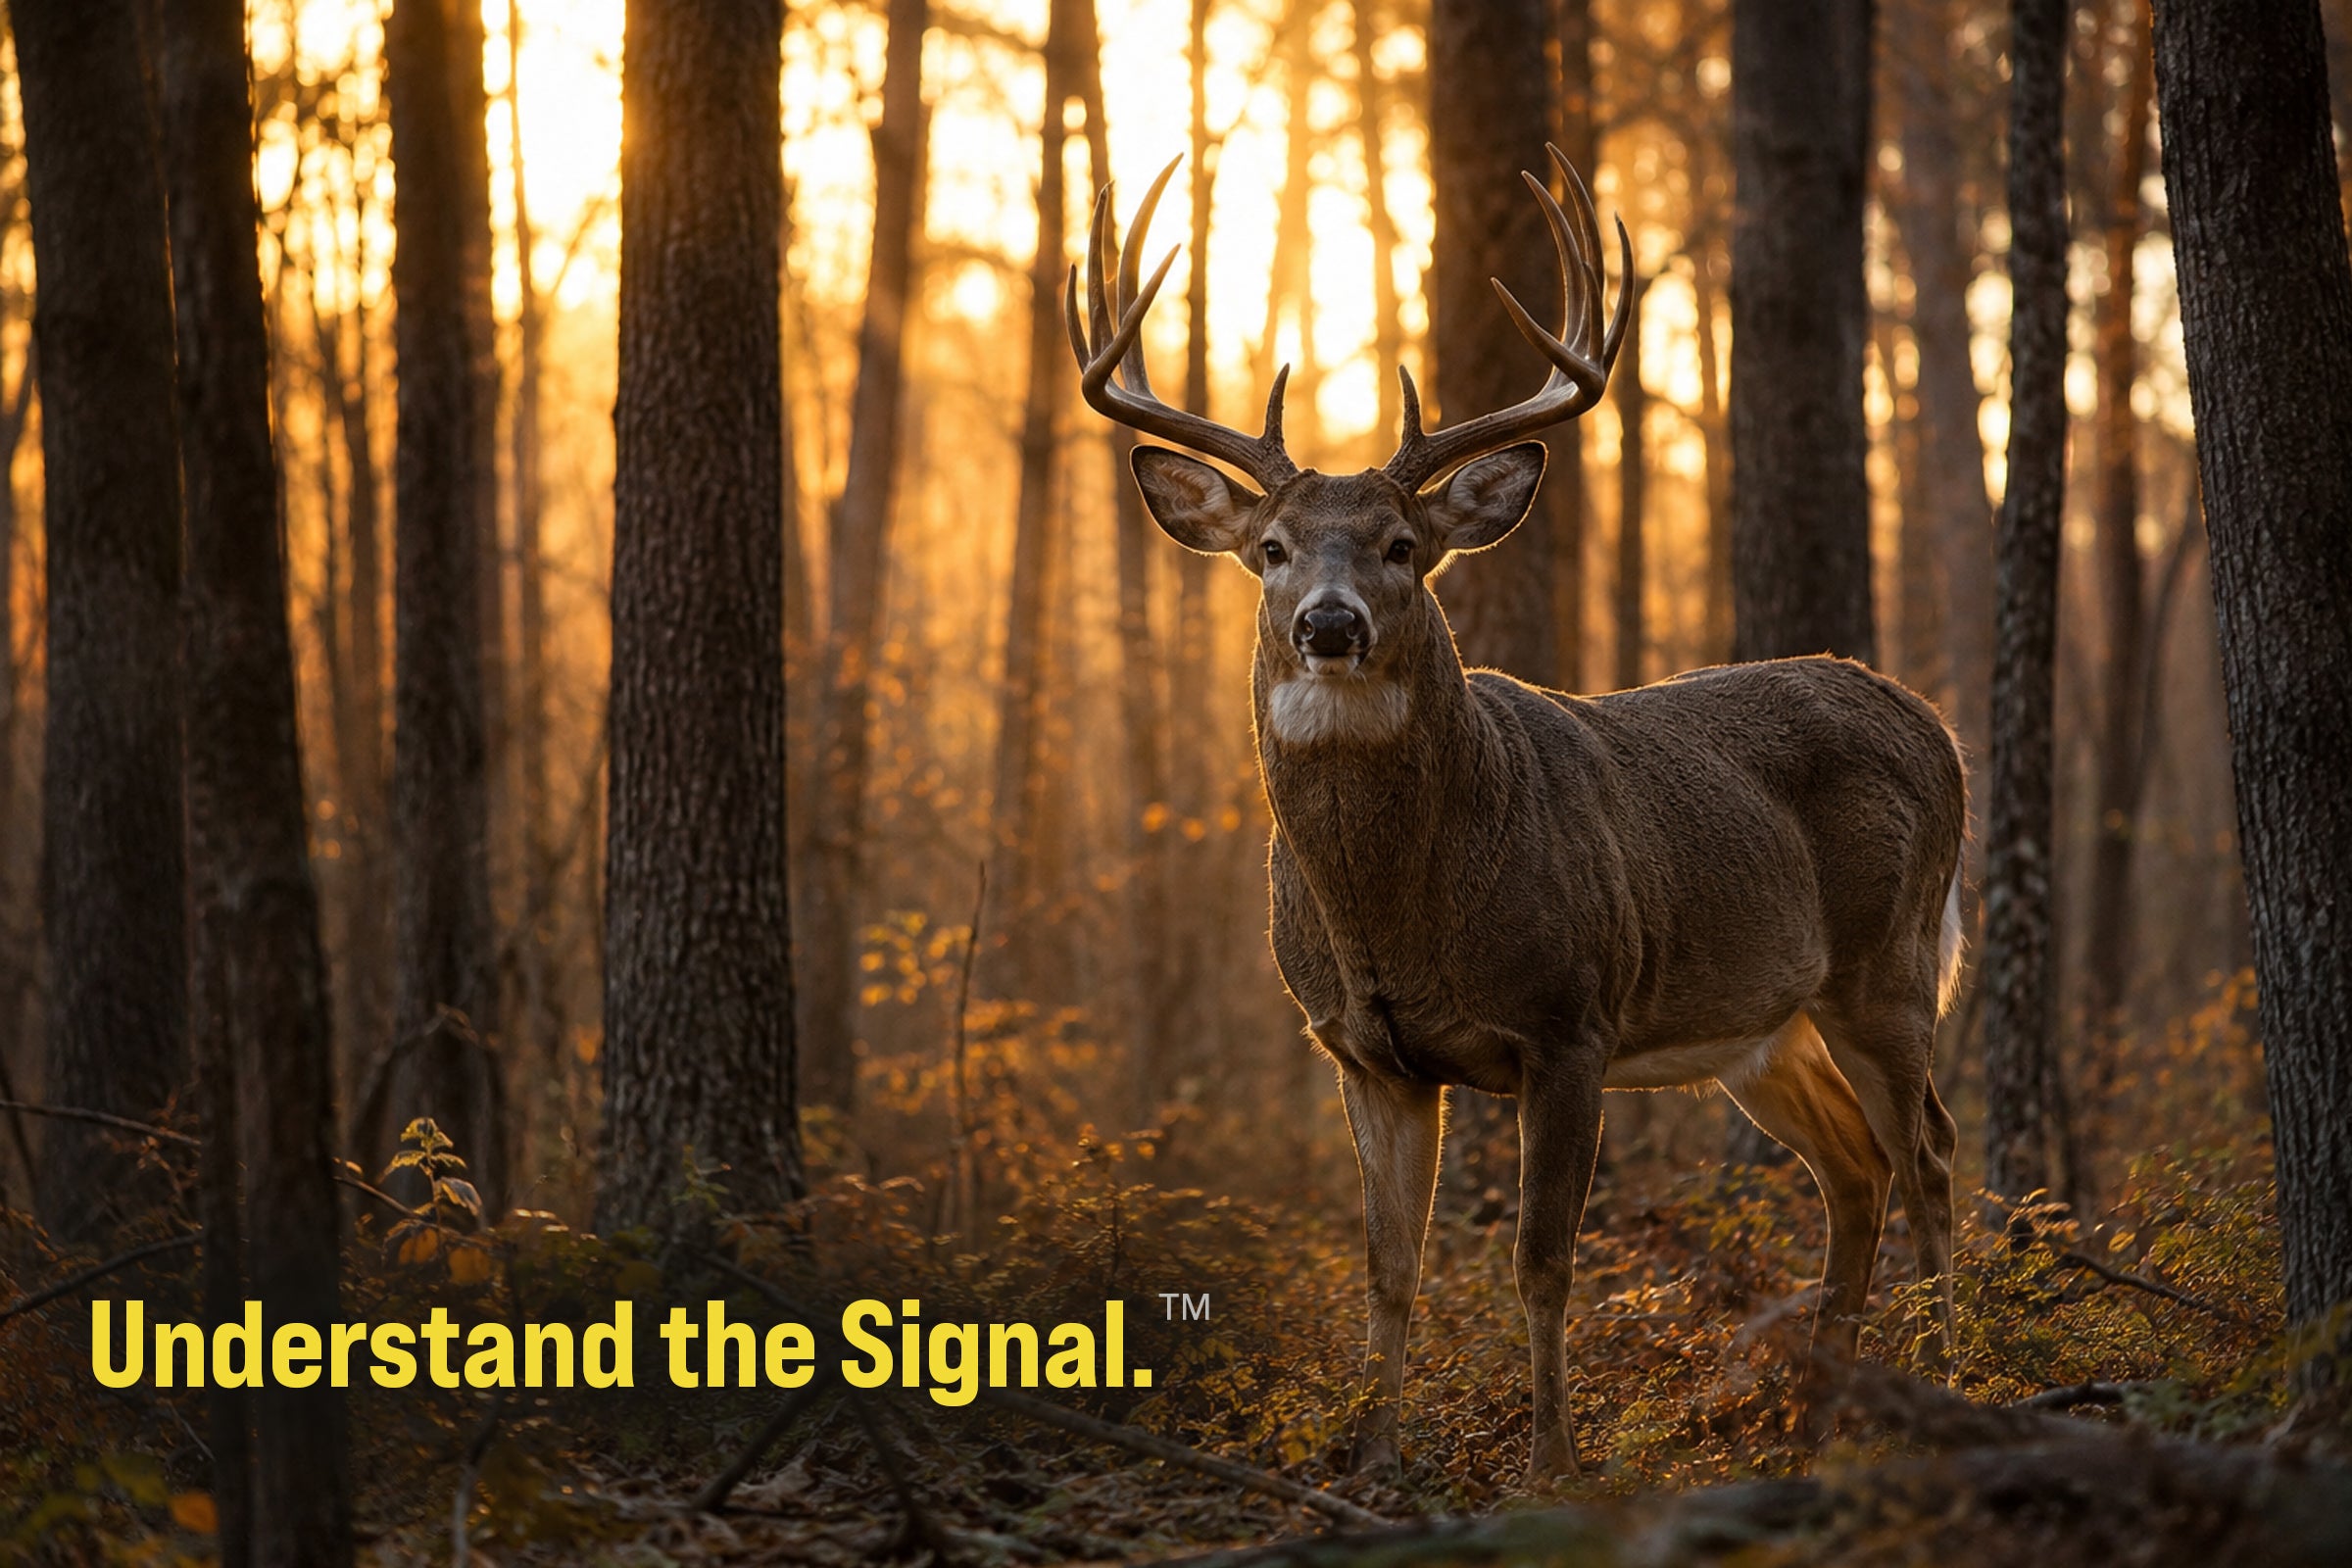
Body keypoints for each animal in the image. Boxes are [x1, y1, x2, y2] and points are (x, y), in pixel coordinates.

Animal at [1065, 146, 1966, 1483]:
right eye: (1271, 547)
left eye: (1402, 544)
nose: (1329, 622)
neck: (1397, 909)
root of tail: (1930, 720)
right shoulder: (1363, 1051)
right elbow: (1389, 1267)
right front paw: (1374, 1457)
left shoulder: (1568, 1017)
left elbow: (1542, 1263)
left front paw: (1551, 1463)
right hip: (1762, 1024)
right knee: (1856, 1170)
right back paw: (1817, 1426)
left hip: (1886, 961)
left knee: (1931, 1155)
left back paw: (1962, 1373)